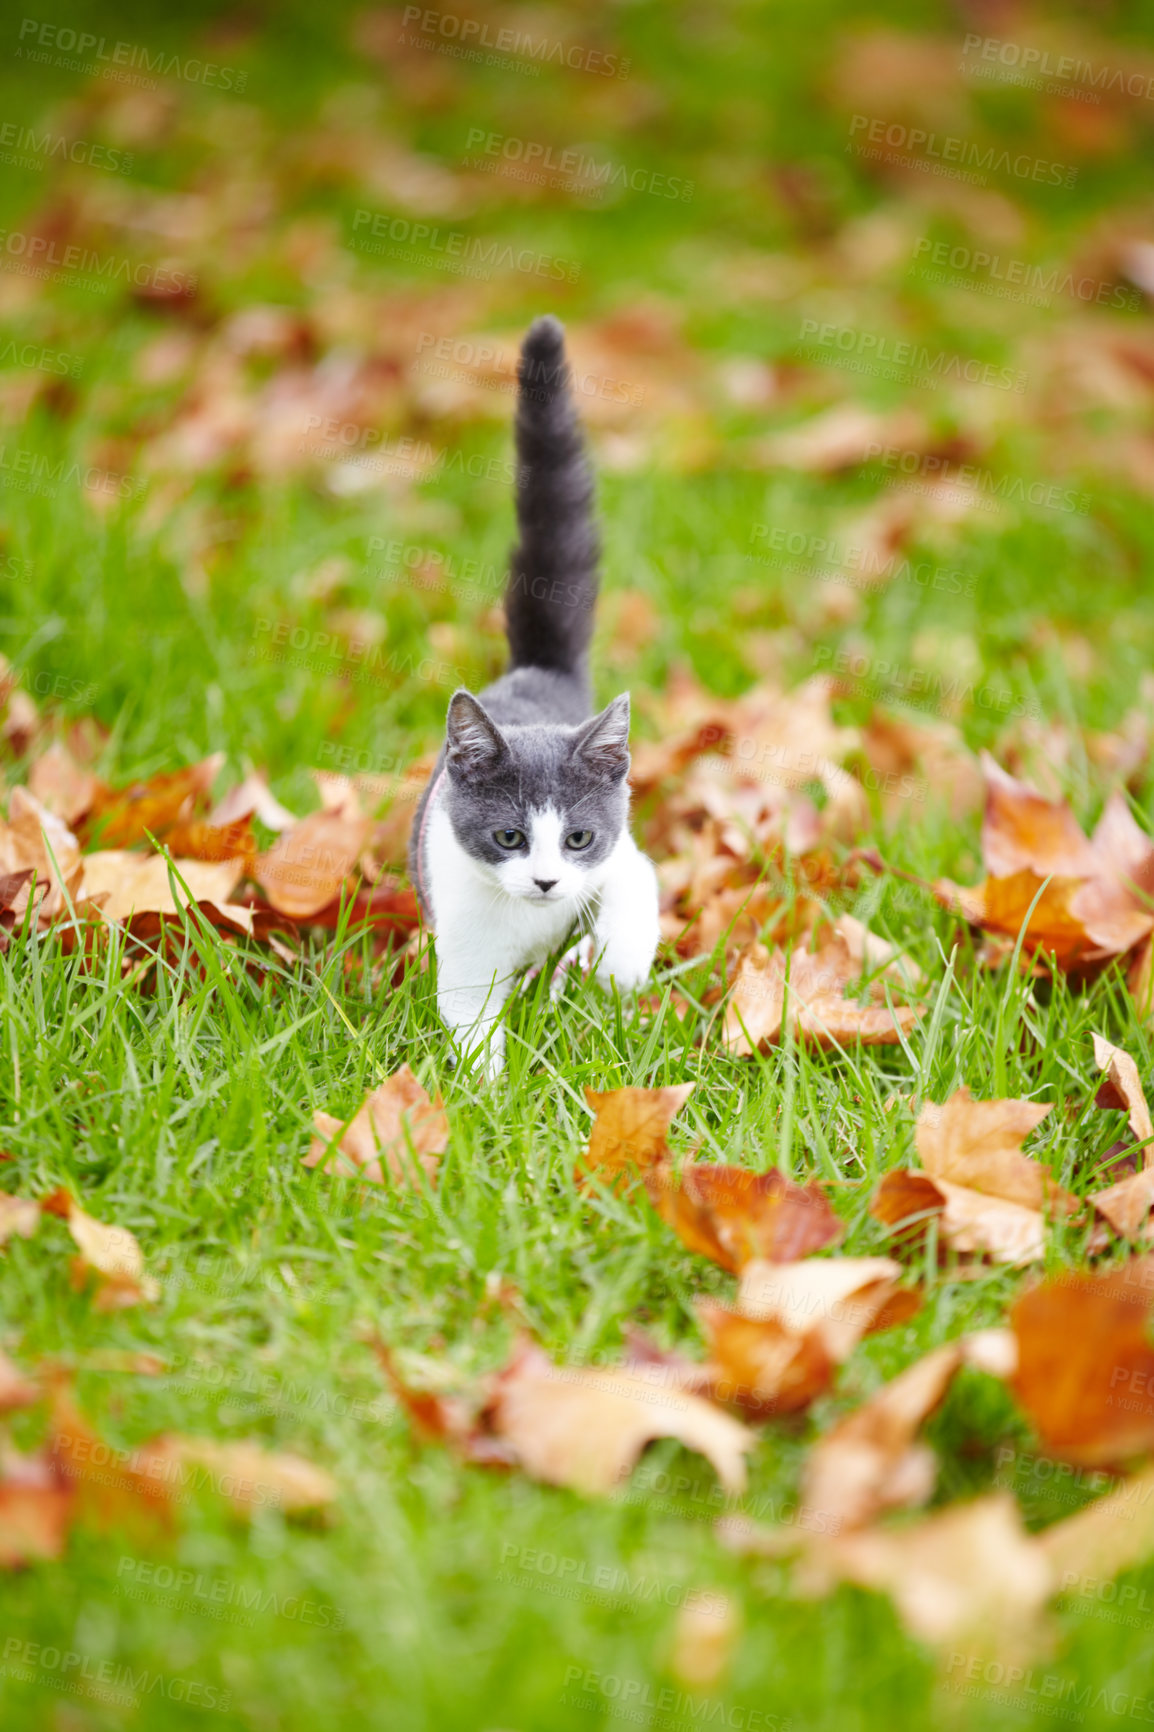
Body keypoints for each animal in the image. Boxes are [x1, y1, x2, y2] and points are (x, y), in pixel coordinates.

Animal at [407, 310, 654, 1066]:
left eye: (578, 838)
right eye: (510, 836)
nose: (546, 880)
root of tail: (534, 671)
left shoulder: (627, 861)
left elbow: (632, 924)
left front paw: (601, 976)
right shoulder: (462, 937)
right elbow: (468, 1017)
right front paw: (489, 1088)